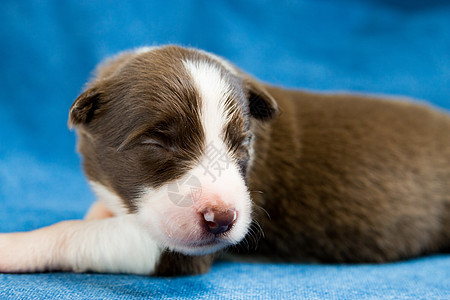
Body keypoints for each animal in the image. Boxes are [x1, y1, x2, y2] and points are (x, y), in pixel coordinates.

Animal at [0, 45, 450, 276]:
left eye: (243, 142)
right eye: (157, 143)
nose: (222, 219)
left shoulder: (173, 250)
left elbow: (77, 234)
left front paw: (15, 246)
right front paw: (99, 210)